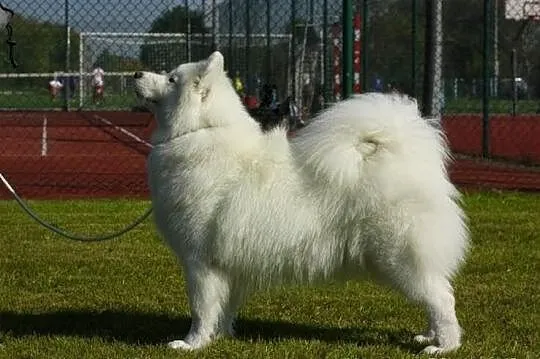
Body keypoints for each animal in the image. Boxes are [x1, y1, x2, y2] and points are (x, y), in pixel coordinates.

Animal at [134, 52, 468, 356]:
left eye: (171, 79)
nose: (136, 73)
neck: (200, 132)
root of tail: (411, 159)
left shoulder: (200, 262)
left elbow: (201, 309)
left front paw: (192, 343)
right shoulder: (229, 263)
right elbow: (224, 307)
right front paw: (221, 336)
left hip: (399, 258)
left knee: (442, 299)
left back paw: (444, 346)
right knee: (435, 296)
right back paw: (428, 336)